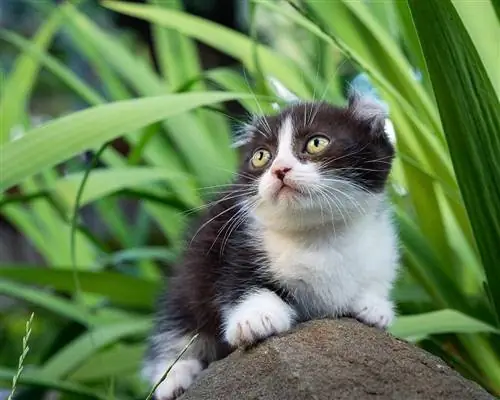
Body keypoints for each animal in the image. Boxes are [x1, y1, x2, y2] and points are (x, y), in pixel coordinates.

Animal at [144, 95, 398, 398]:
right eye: (261, 156)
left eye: (316, 143)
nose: (280, 170)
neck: (318, 234)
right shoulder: (232, 243)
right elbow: (239, 281)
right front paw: (256, 317)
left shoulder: (380, 246)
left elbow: (375, 278)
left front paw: (374, 306)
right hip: (190, 272)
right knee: (178, 324)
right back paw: (173, 378)